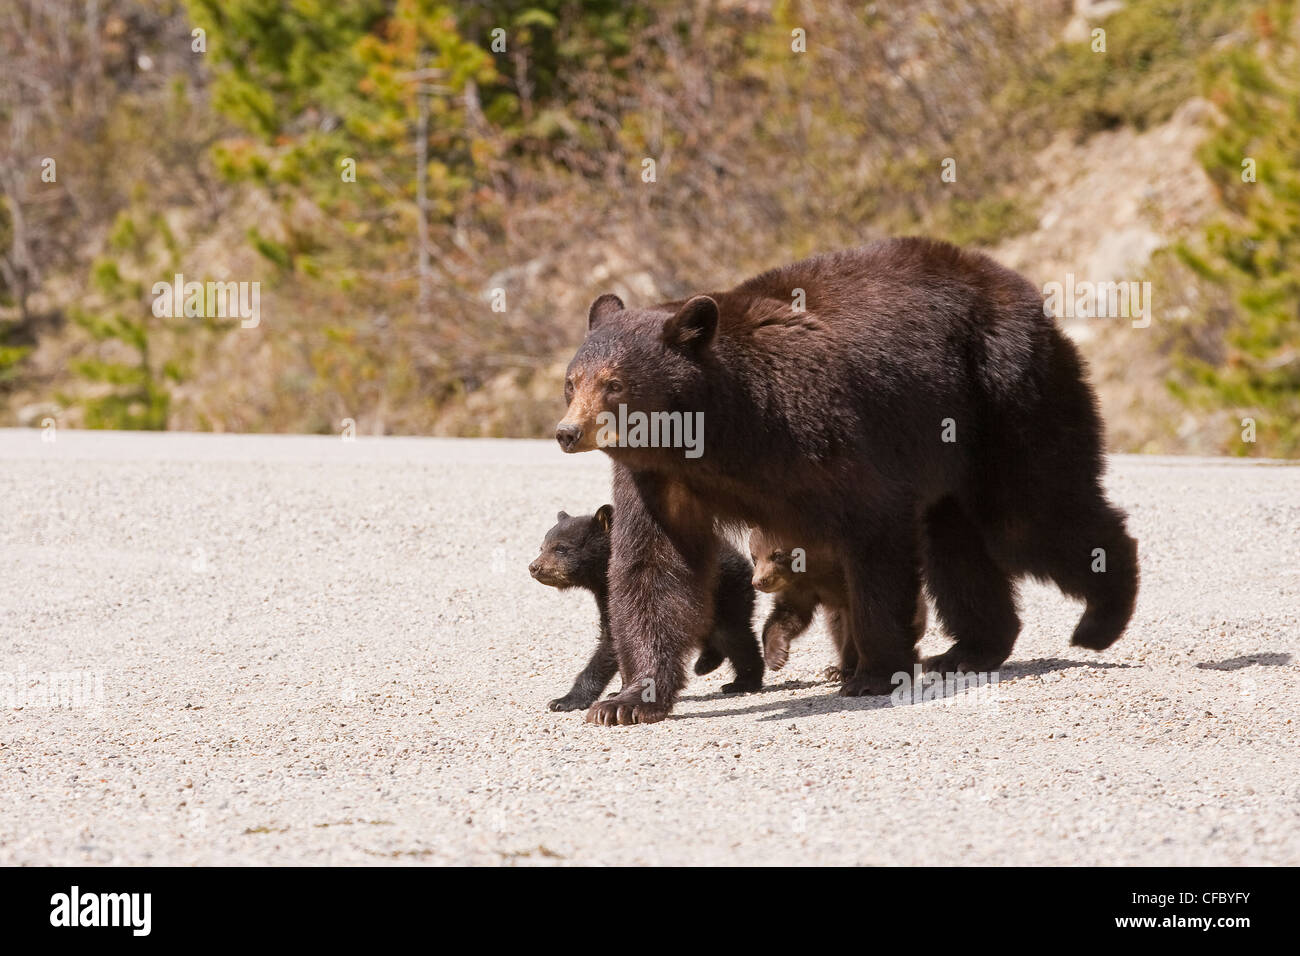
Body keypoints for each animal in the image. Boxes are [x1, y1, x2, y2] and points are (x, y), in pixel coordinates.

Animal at [528, 505, 764, 711]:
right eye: (542, 547)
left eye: (561, 548)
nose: (534, 567)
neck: (604, 577)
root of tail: (743, 560)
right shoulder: (605, 597)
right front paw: (621, 691)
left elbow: (612, 642)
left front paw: (565, 700)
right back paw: (706, 663)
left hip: (728, 594)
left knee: (734, 637)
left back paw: (743, 681)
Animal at [748, 527, 927, 677]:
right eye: (754, 557)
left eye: (777, 555)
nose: (758, 581)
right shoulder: (801, 587)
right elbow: (789, 614)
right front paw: (776, 657)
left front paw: (848, 670)